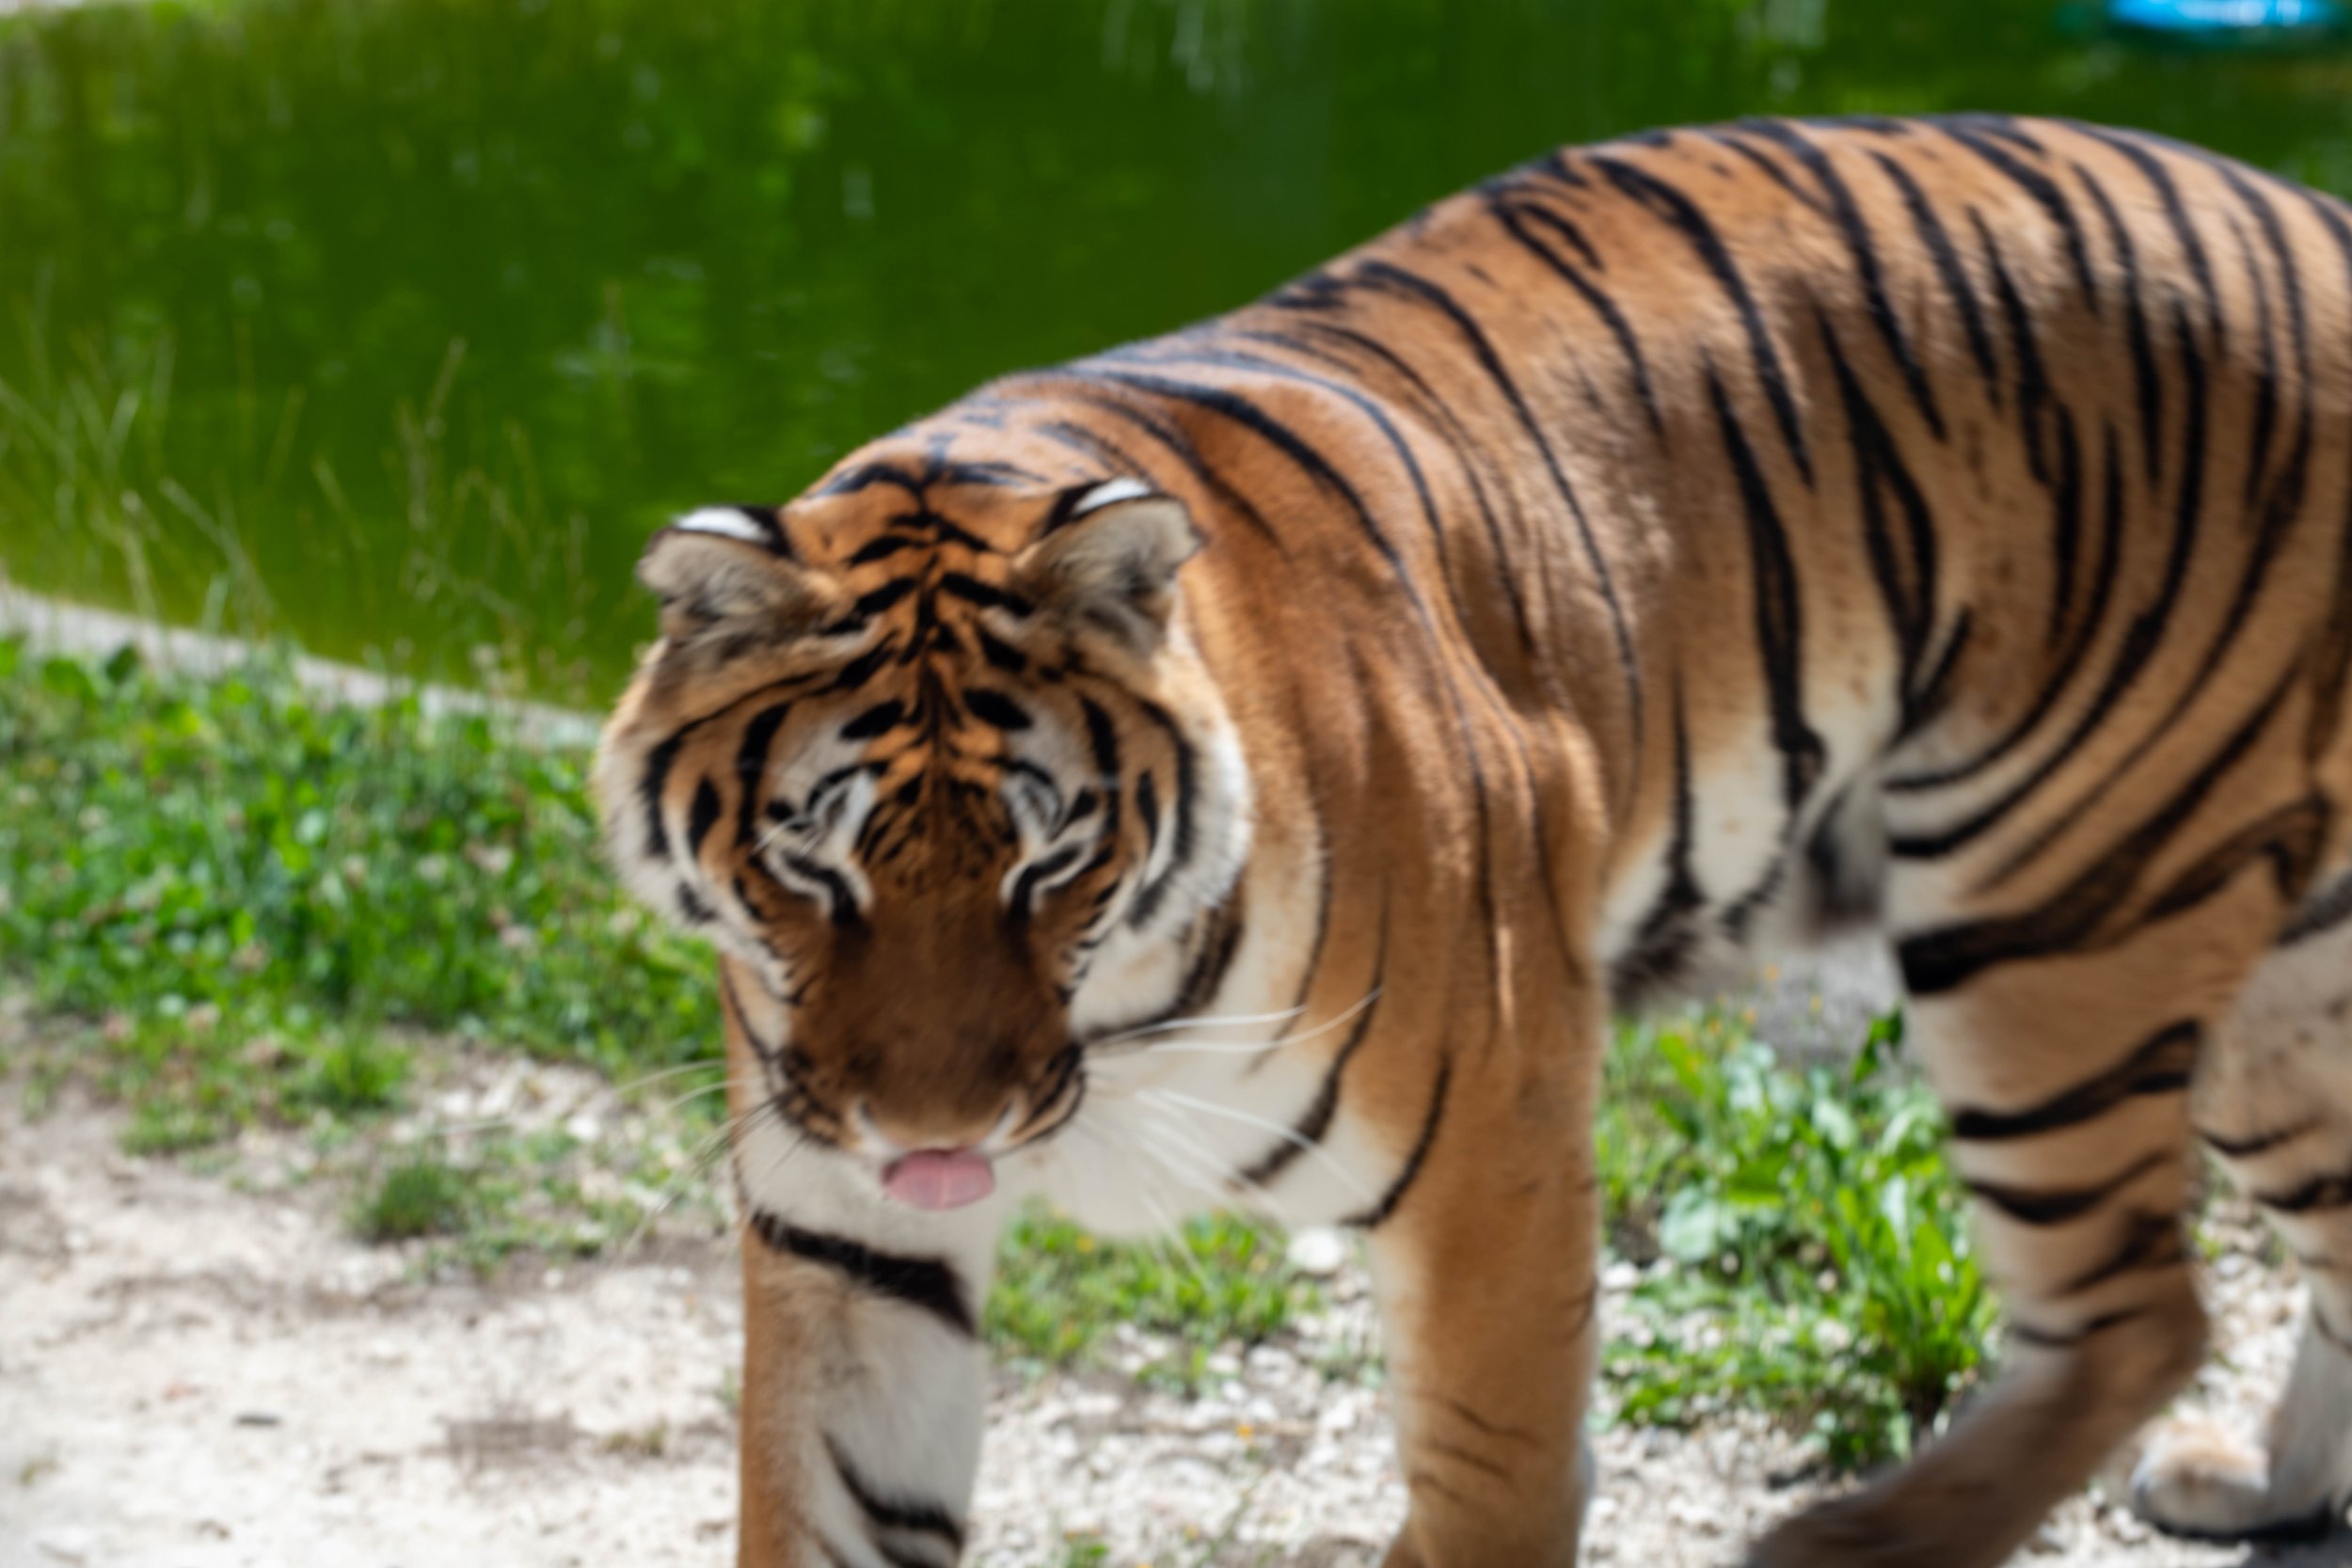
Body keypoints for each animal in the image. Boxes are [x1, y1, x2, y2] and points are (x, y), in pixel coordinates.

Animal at [591, 113, 2352, 1567]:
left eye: (1048, 863)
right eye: (816, 866)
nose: (936, 1129)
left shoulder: (1497, 1149)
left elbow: (1493, 1485)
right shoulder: (847, 1234)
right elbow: (829, 1500)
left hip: (2057, 905)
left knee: (2139, 1313)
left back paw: (1851, 1543)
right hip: (2266, 978)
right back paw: (2260, 1487)